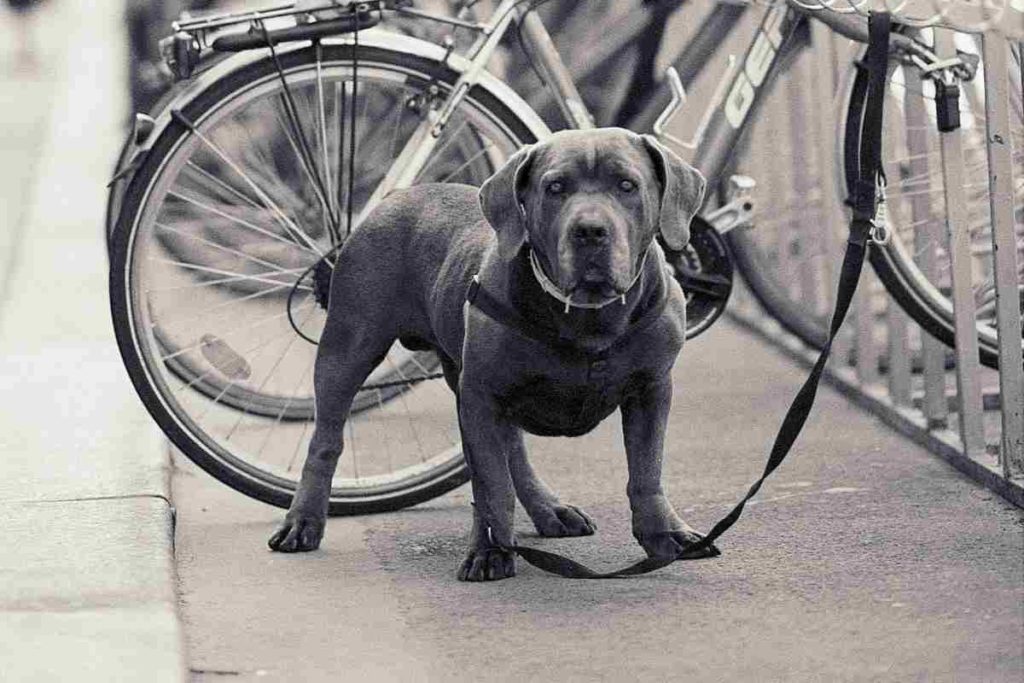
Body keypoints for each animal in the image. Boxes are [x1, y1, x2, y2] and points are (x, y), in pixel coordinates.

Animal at [270, 126, 720, 581]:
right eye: (555, 188)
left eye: (627, 186)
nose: (590, 230)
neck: (588, 316)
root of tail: (395, 197)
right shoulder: (481, 398)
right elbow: (491, 483)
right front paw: (489, 550)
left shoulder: (650, 391)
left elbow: (646, 470)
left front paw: (665, 534)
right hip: (348, 350)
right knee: (326, 441)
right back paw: (303, 522)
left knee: (515, 451)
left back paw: (549, 510)